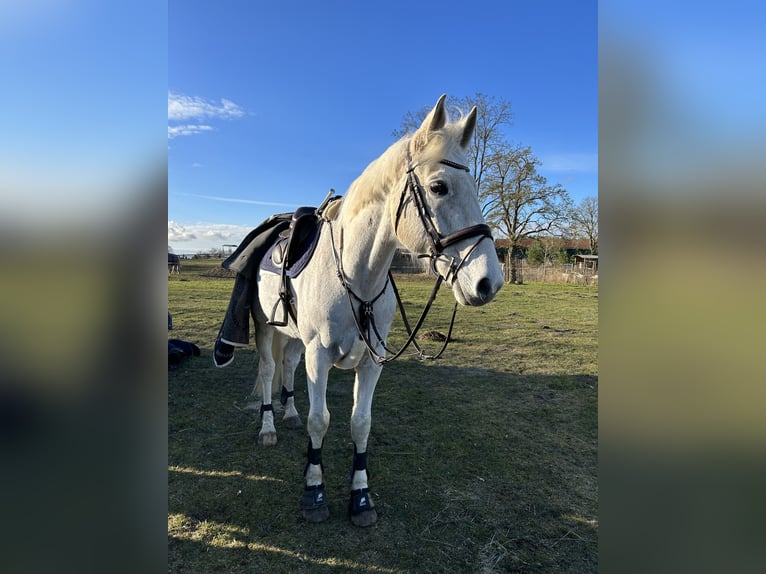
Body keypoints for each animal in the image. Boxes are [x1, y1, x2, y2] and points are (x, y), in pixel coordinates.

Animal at [252, 95, 508, 532]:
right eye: (439, 187)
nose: (489, 282)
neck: (356, 276)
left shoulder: (372, 362)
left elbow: (361, 423)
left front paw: (360, 497)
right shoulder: (319, 357)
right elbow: (321, 420)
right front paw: (313, 492)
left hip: (294, 337)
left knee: (287, 366)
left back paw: (289, 413)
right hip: (268, 327)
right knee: (270, 370)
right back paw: (269, 426)